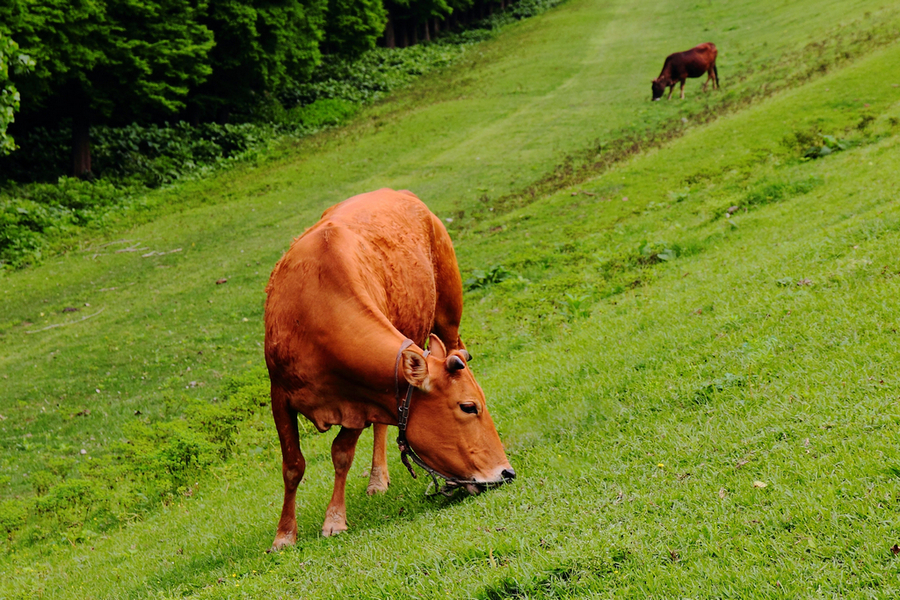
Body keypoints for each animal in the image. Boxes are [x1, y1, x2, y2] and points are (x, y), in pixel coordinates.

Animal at [264, 189, 512, 548]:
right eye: (468, 407)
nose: (506, 472)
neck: (314, 308)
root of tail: (400, 193)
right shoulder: (279, 394)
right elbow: (293, 465)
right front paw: (284, 535)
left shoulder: (357, 400)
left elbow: (341, 453)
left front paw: (334, 519)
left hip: (448, 319)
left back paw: (378, 478)